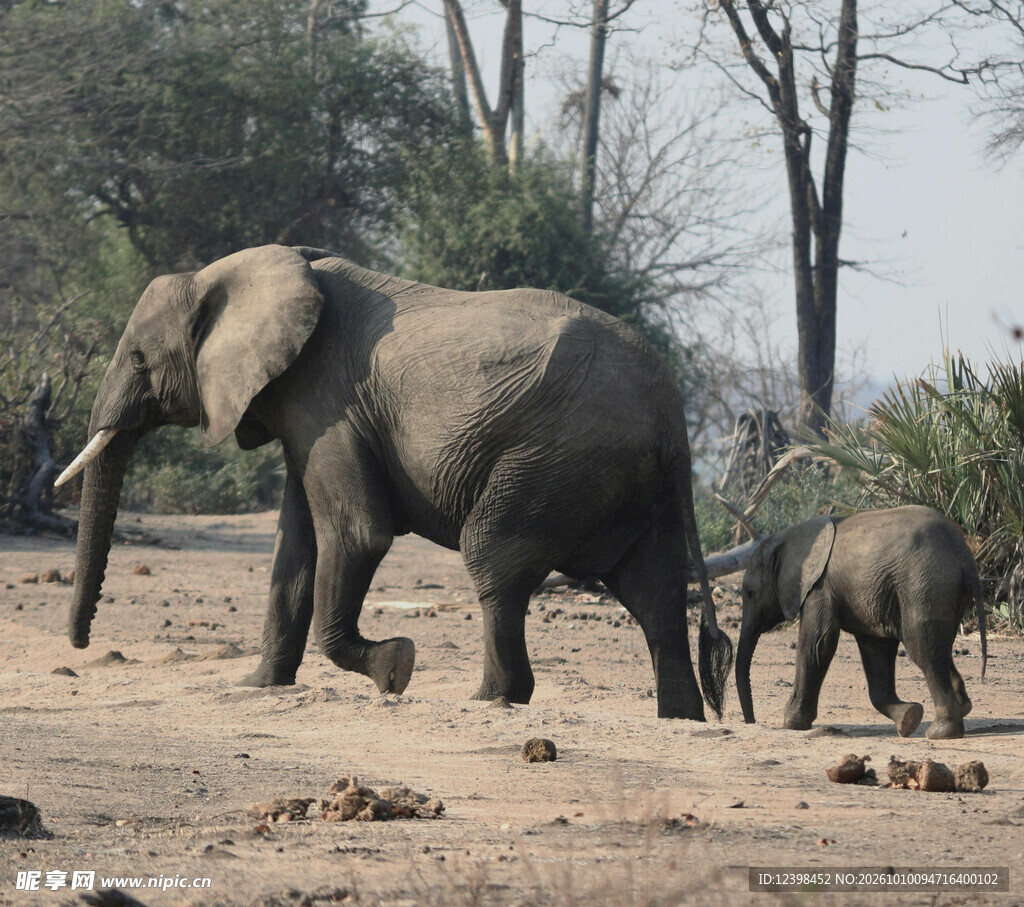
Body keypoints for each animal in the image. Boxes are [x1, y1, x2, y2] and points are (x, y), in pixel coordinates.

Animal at [56, 244, 733, 720]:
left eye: (139, 359)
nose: (79, 646)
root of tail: (673, 414)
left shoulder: (326, 398)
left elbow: (357, 532)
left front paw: (395, 669)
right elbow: (296, 545)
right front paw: (257, 686)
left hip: (556, 459)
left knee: (493, 557)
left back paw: (491, 699)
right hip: (627, 478)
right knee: (655, 594)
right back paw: (681, 719)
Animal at [735, 505, 987, 739]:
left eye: (749, 593)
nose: (752, 721)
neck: (787, 536)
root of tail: (964, 555)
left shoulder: (820, 587)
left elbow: (817, 645)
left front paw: (791, 724)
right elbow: (876, 651)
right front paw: (908, 718)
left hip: (924, 586)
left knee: (924, 649)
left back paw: (941, 732)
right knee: (940, 646)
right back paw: (961, 708)